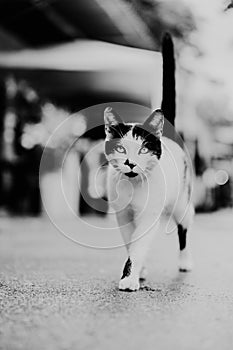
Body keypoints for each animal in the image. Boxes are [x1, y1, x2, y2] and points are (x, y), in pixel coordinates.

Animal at [104, 107, 195, 292]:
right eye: (120, 149)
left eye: (144, 150)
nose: (130, 163)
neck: (133, 184)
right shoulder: (123, 216)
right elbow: (130, 242)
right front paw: (139, 270)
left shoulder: (149, 216)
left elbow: (138, 246)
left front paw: (129, 279)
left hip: (182, 204)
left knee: (184, 230)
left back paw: (185, 261)